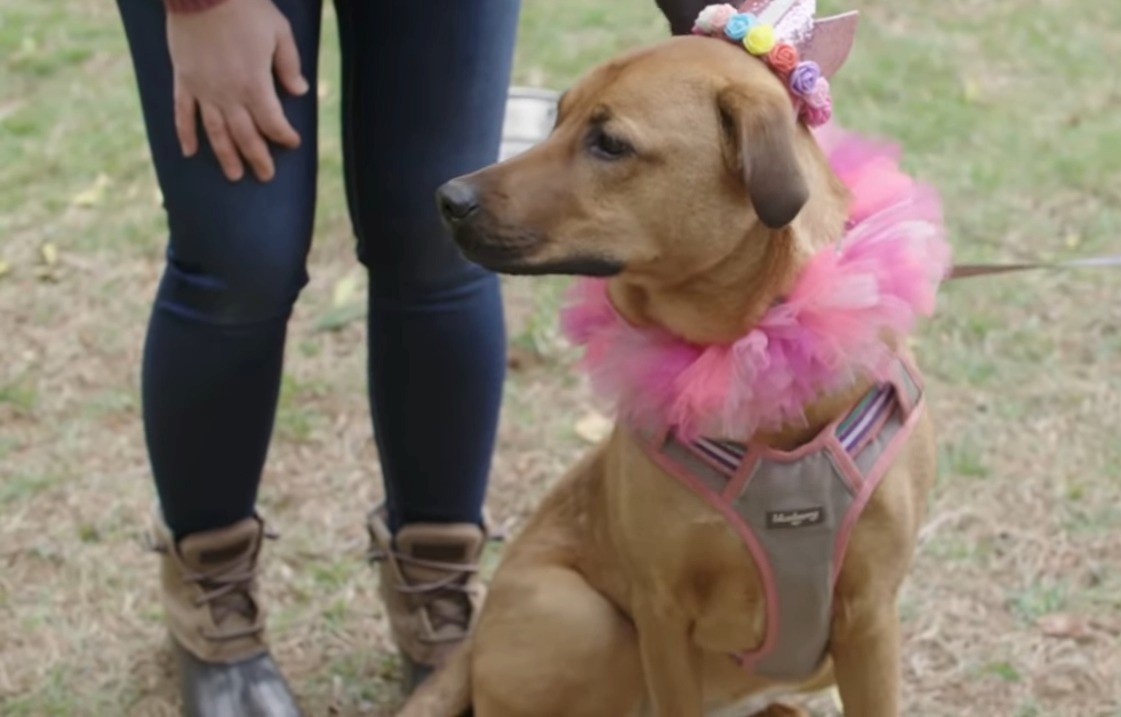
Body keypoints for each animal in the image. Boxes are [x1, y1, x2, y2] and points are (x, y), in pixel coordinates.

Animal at [401, 36, 937, 717]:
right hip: (590, 623)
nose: (447, 198)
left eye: (609, 143)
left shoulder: (871, 619)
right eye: (557, 118)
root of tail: (469, 651)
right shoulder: (661, 613)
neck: (749, 352)